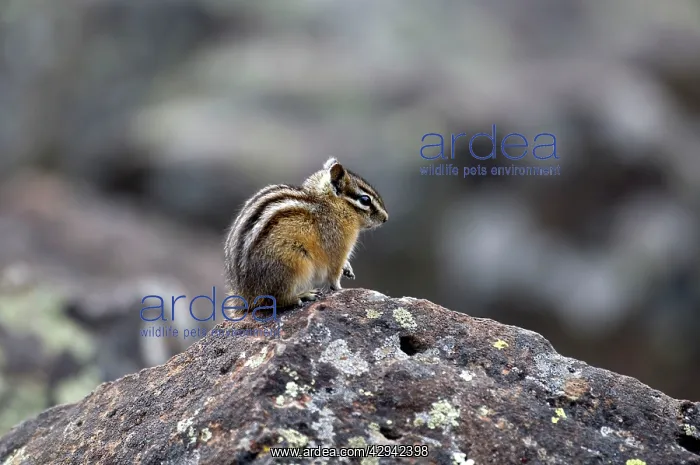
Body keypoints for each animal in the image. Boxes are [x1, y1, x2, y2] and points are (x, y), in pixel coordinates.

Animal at [223, 157, 388, 313]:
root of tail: (246, 296)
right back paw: (302, 295)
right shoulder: (337, 248)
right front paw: (341, 289)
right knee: (274, 300)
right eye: (365, 200)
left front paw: (347, 268)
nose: (386, 218)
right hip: (291, 264)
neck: (331, 205)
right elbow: (334, 275)